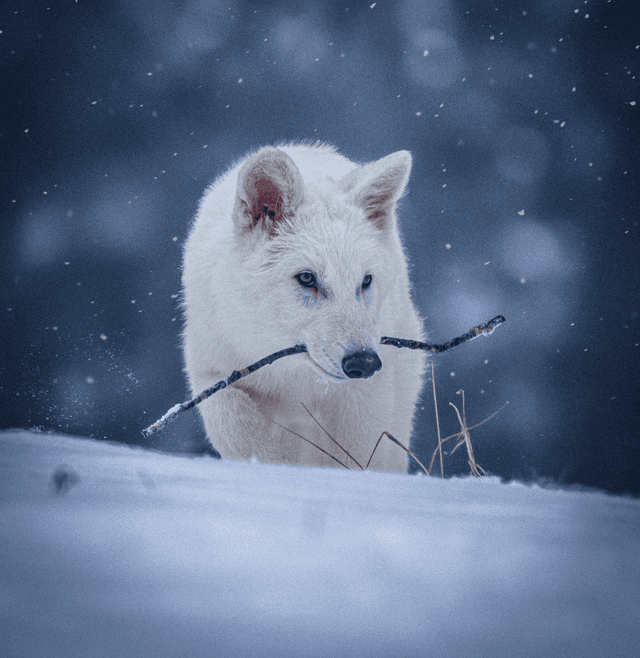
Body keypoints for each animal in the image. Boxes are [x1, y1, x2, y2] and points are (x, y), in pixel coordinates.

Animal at [182, 143, 425, 472]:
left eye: (365, 281)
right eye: (307, 278)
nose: (364, 362)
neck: (293, 376)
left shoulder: (364, 397)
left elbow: (355, 457)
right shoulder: (213, 375)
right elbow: (240, 432)